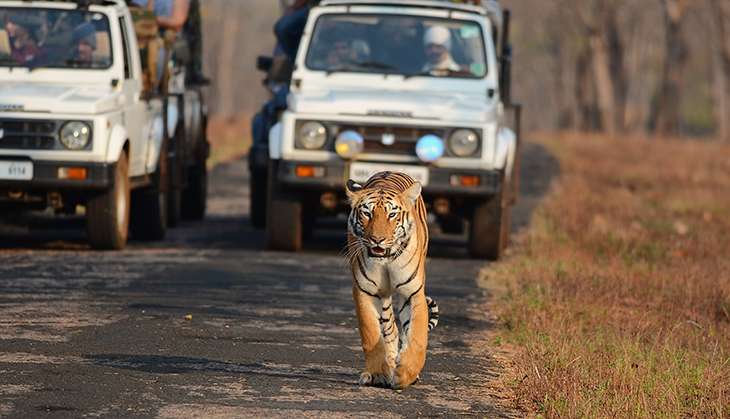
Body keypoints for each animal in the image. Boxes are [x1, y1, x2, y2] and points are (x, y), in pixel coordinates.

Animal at [342, 171, 438, 390]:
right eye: (367, 213)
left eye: (392, 215)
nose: (378, 239)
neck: (385, 259)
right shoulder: (364, 291)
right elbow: (371, 334)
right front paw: (378, 373)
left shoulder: (412, 293)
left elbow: (417, 336)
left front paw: (406, 374)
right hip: (383, 298)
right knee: (390, 330)